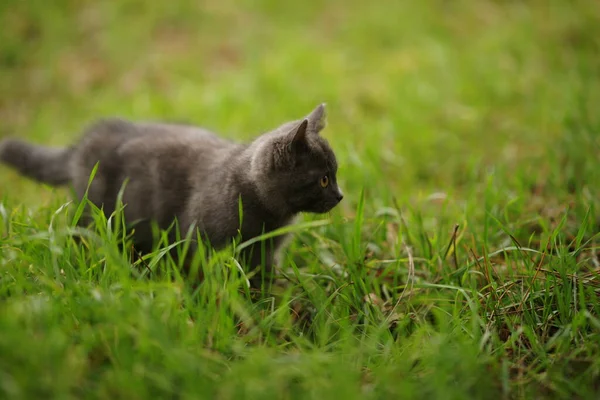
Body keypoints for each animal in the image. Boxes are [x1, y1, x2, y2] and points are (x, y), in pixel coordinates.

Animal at [0, 104, 344, 282]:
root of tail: (81, 145)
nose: (340, 195)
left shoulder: (266, 253)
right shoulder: (203, 242)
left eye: (336, 173)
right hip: (96, 212)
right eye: (324, 180)